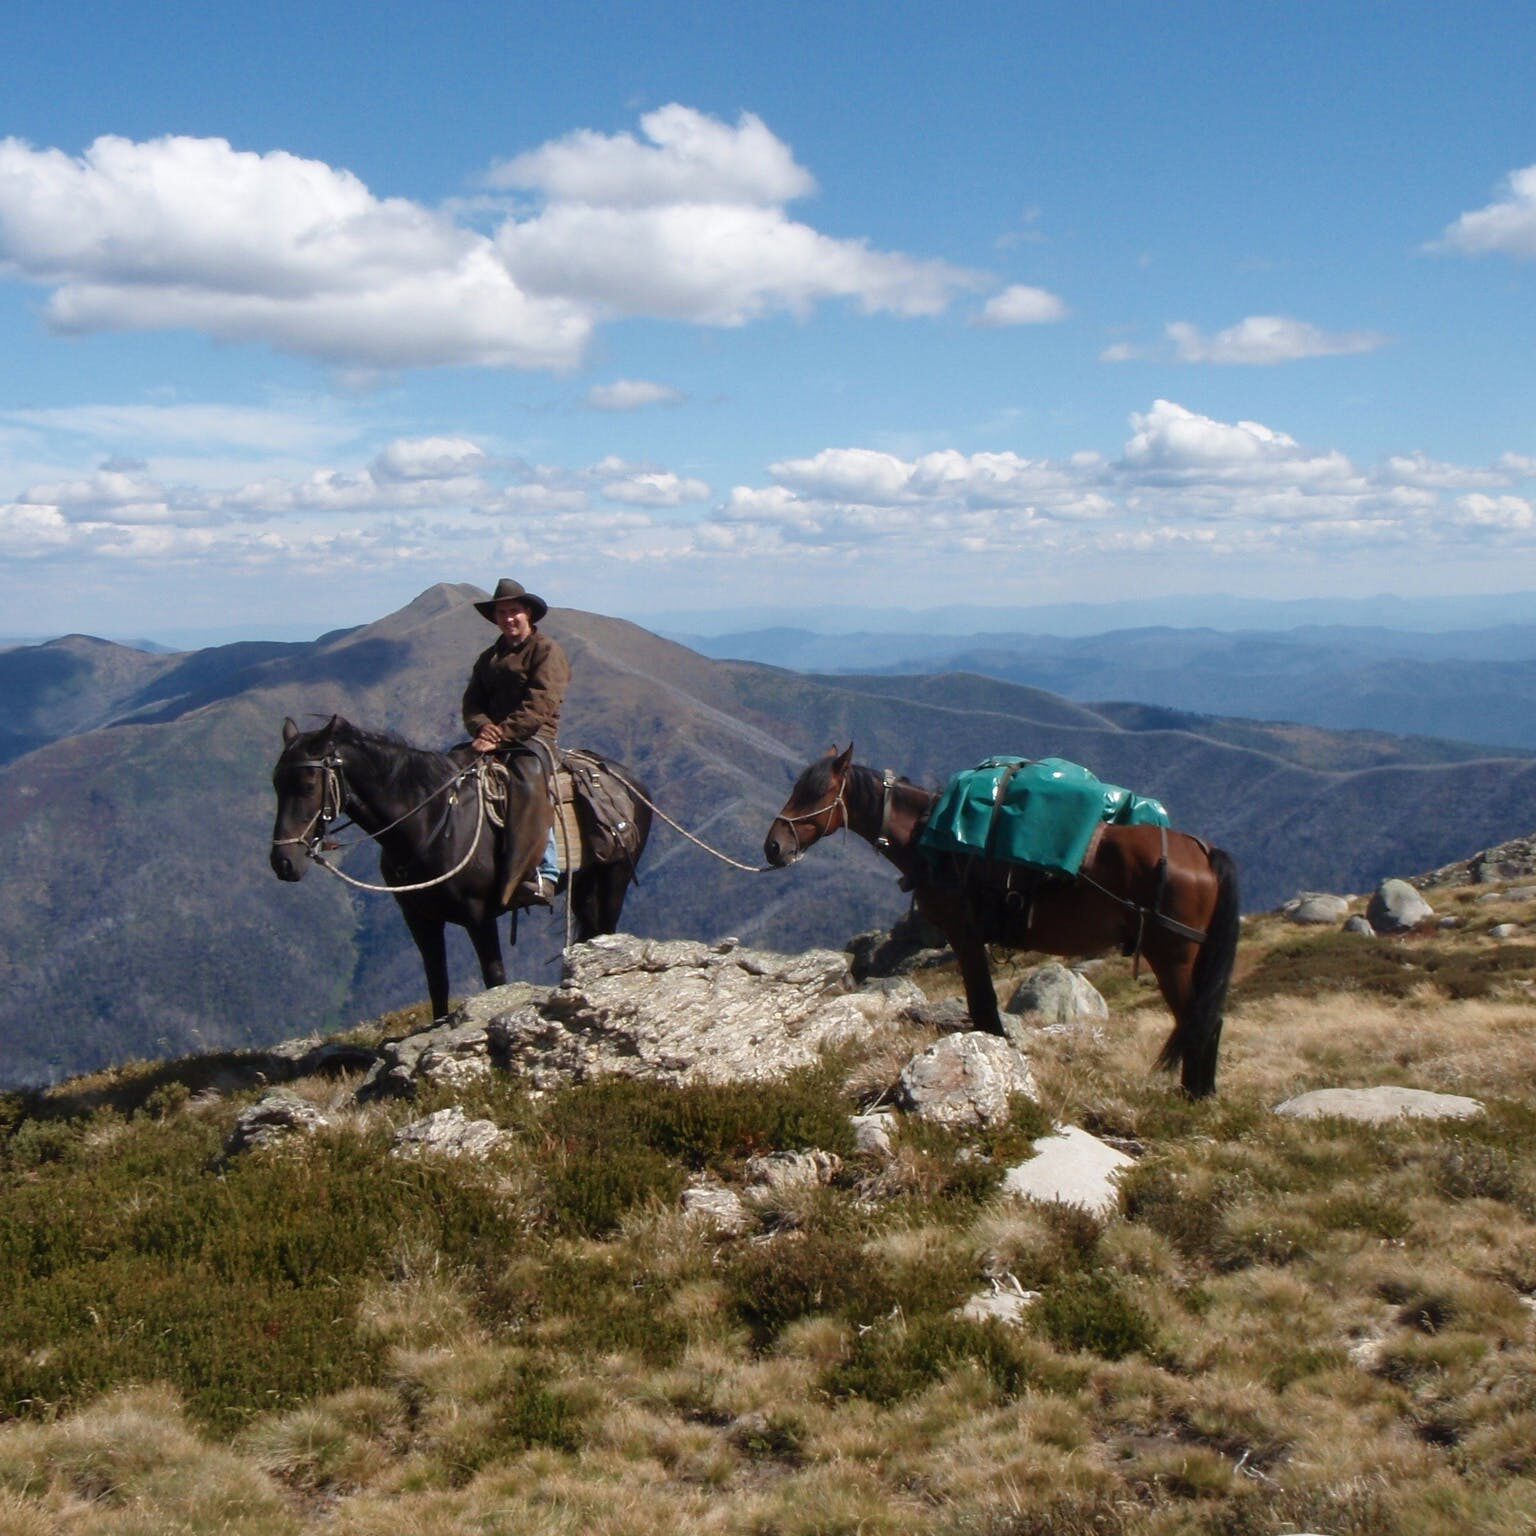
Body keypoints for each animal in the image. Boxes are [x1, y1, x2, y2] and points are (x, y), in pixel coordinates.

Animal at [268, 715, 648, 1019]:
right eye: (275, 784)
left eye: (308, 785)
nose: (283, 862)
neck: (431, 823)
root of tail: (626, 778)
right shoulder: (419, 920)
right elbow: (437, 980)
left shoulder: (478, 917)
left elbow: (494, 978)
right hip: (586, 884)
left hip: (615, 880)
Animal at [761, 743, 1241, 1093]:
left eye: (816, 794)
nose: (773, 846)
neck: (931, 836)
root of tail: (1201, 851)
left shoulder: (964, 933)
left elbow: (982, 1004)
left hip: (1172, 955)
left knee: (1200, 1020)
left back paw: (1194, 1096)